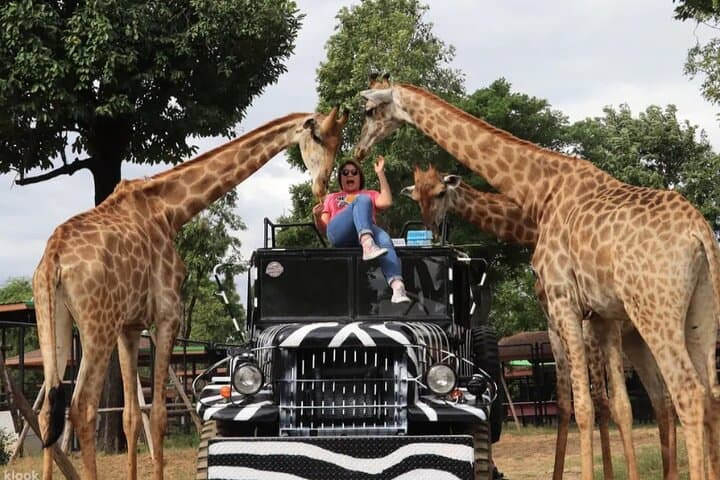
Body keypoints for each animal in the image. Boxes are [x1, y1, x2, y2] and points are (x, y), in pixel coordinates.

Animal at [32, 107, 348, 480]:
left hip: (55, 320)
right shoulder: (167, 314)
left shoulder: (129, 327)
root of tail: (54, 258)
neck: (170, 211)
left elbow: (131, 416)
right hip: (97, 325)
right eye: (319, 137)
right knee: (82, 407)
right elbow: (157, 416)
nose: (321, 187)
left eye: (338, 140)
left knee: (48, 409)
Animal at [403, 165, 678, 479]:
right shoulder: (556, 326)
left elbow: (600, 400)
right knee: (664, 397)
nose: (432, 229)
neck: (533, 230)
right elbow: (567, 402)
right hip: (636, 338)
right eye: (417, 196)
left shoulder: (584, 327)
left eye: (441, 192)